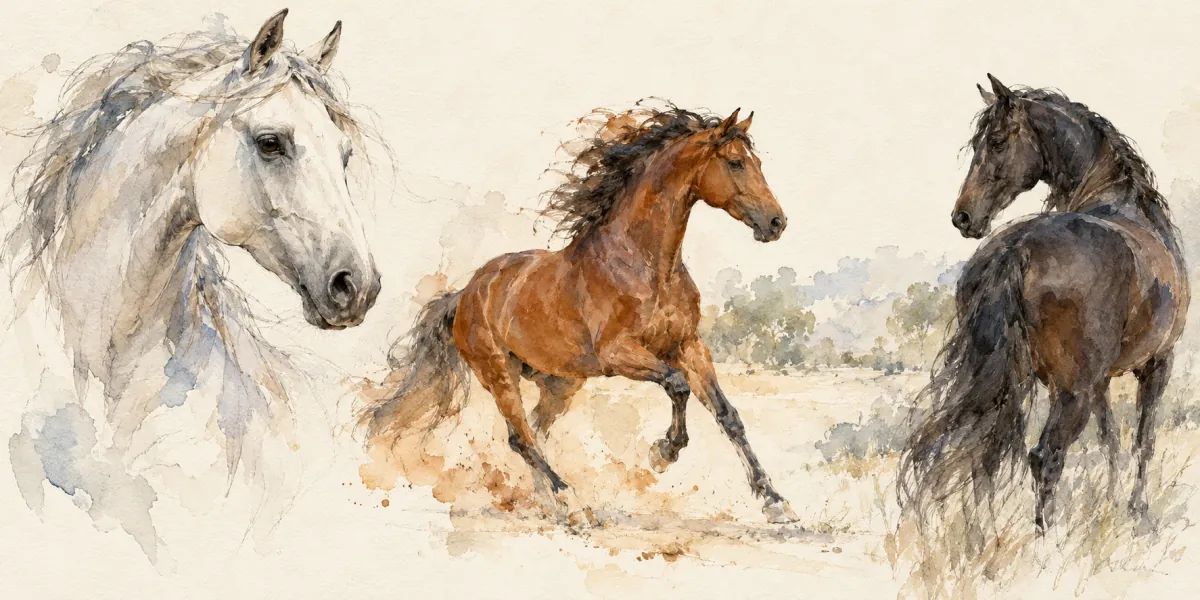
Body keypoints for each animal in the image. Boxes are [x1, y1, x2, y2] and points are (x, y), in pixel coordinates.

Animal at [361, 105, 798, 526]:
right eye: (736, 162)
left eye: (757, 162)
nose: (776, 223)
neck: (645, 265)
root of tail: (465, 294)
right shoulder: (617, 353)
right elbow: (677, 385)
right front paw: (664, 452)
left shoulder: (688, 345)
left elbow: (728, 415)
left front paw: (775, 503)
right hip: (498, 372)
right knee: (521, 437)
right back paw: (571, 503)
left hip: (560, 384)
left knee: (534, 431)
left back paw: (546, 503)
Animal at [899, 74, 1189, 532]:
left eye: (996, 141)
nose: (963, 217)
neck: (1118, 199)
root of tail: (1018, 247)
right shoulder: (1157, 362)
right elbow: (1143, 441)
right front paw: (1137, 514)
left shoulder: (1104, 379)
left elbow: (1112, 439)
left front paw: (1111, 503)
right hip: (1071, 391)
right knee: (1045, 457)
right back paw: (1044, 539)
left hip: (1015, 383)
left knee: (986, 454)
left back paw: (987, 537)